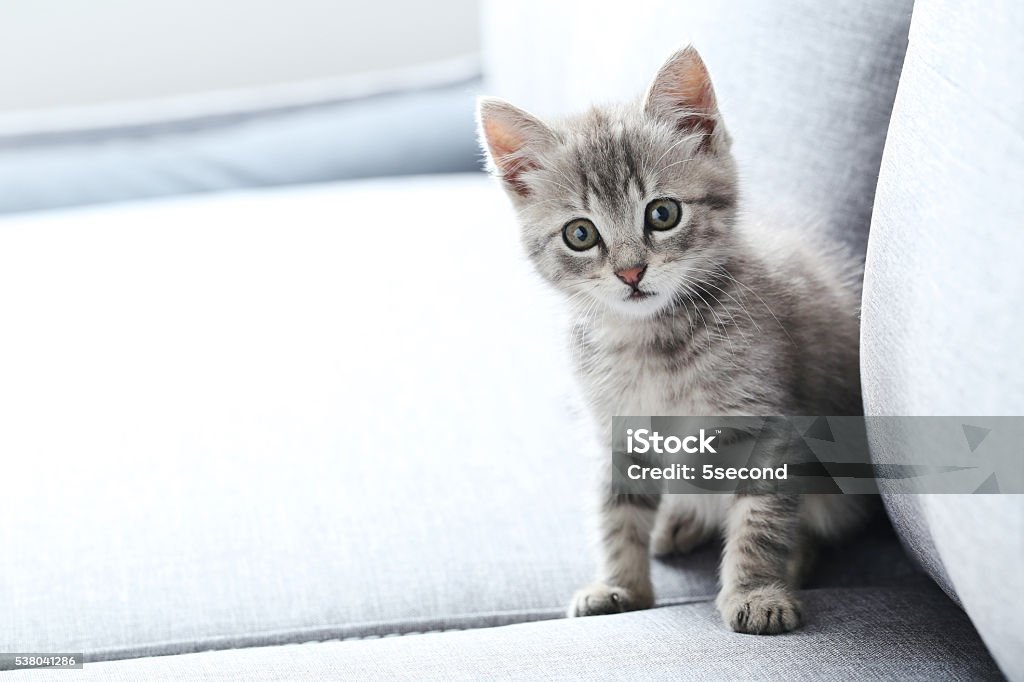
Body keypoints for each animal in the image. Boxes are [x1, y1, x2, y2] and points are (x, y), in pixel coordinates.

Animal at [475, 46, 868, 630]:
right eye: (580, 234)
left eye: (663, 214)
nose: (631, 273)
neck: (651, 342)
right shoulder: (618, 432)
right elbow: (617, 512)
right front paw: (620, 585)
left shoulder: (768, 425)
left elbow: (761, 517)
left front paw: (757, 592)